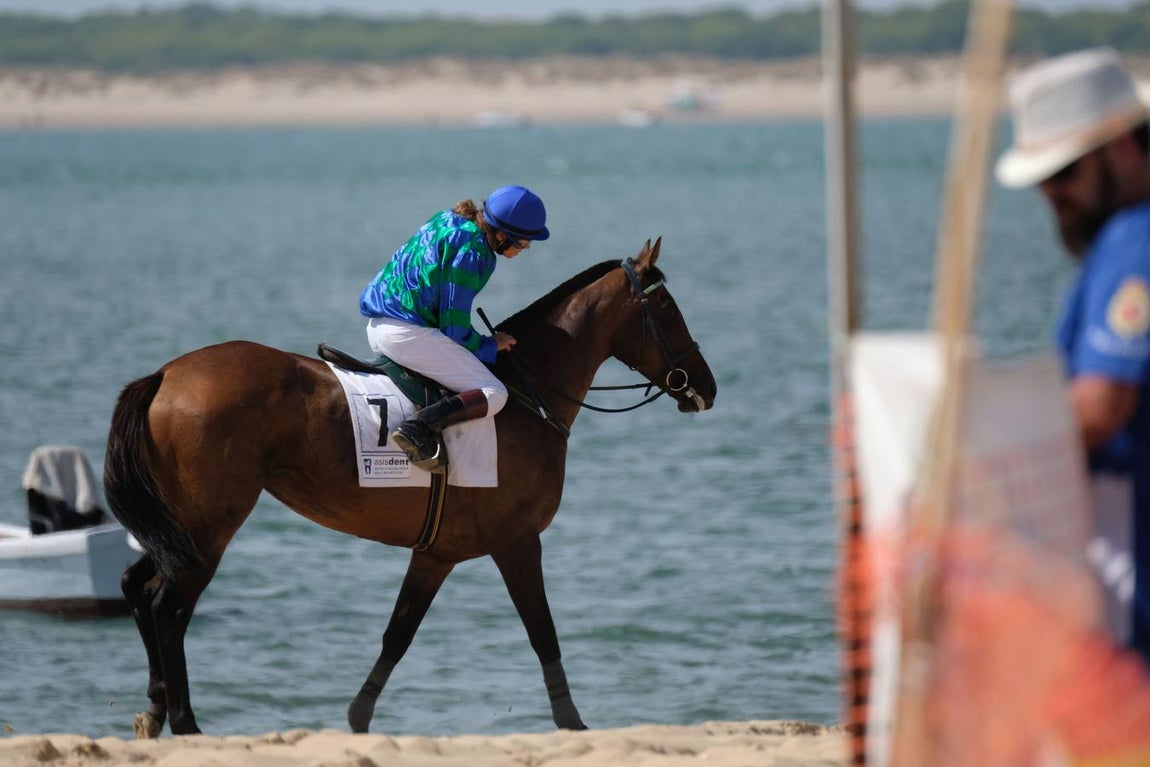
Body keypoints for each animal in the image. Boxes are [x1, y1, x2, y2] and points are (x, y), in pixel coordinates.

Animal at [103, 237, 717, 739]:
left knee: (137, 587)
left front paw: (359, 716)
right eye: (667, 308)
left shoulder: (436, 553)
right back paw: (185, 722)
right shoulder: (517, 541)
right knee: (166, 606)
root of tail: (166, 375)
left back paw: (154, 712)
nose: (706, 387)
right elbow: (542, 631)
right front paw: (572, 722)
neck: (527, 394)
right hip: (210, 526)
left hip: (179, 525)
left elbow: (397, 635)